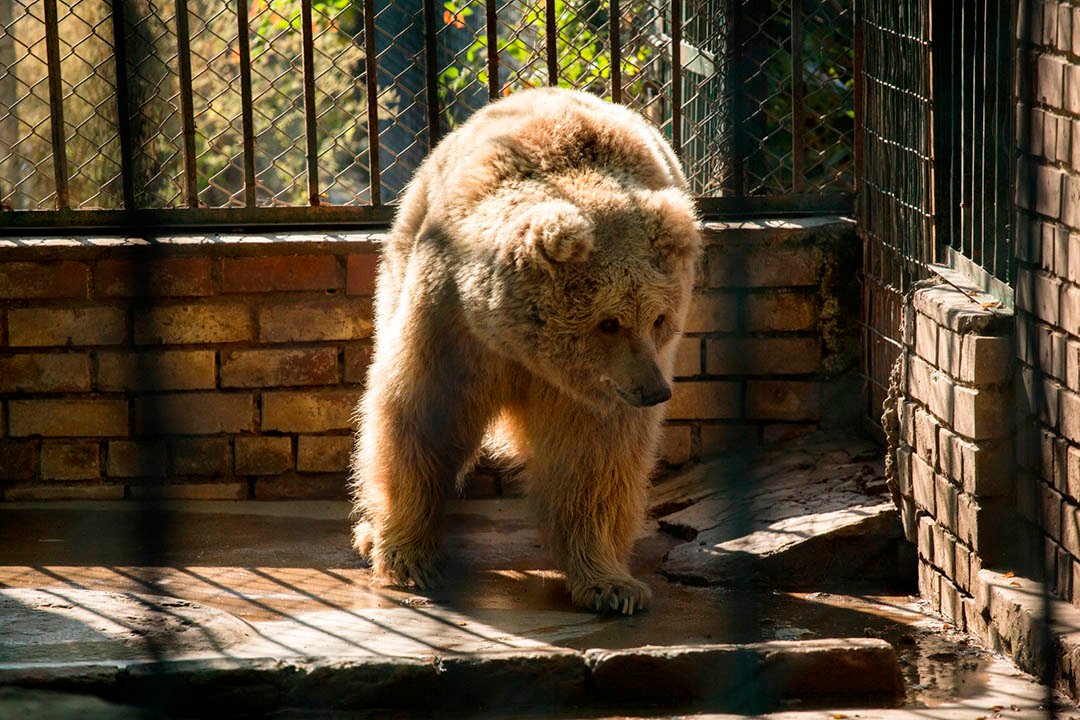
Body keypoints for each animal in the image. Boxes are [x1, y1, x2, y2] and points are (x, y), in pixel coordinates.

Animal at [347, 85, 699, 613]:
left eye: (658, 318)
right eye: (609, 322)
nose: (655, 391)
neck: (518, 345)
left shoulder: (595, 390)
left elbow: (593, 458)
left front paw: (612, 585)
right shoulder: (452, 323)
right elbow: (420, 418)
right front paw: (408, 557)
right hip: (400, 256)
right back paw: (369, 533)